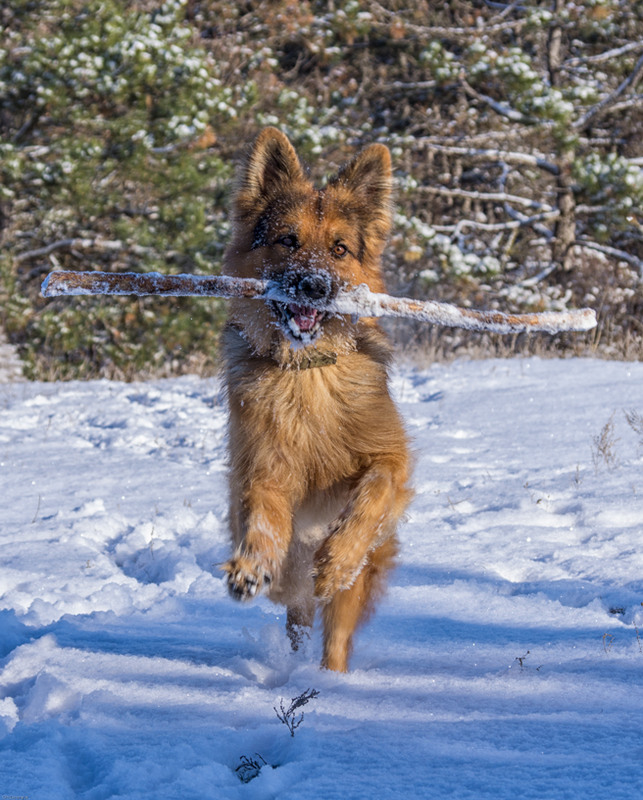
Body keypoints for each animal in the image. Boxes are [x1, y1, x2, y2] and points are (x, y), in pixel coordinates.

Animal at [221, 128, 412, 672]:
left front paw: (337, 558)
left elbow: (376, 488)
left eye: (340, 248)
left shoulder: (391, 457)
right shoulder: (261, 464)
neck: (306, 376)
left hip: (354, 591)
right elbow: (262, 510)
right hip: (290, 584)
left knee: (335, 637)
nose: (314, 285)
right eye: (288, 240)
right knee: (296, 609)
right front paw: (251, 564)